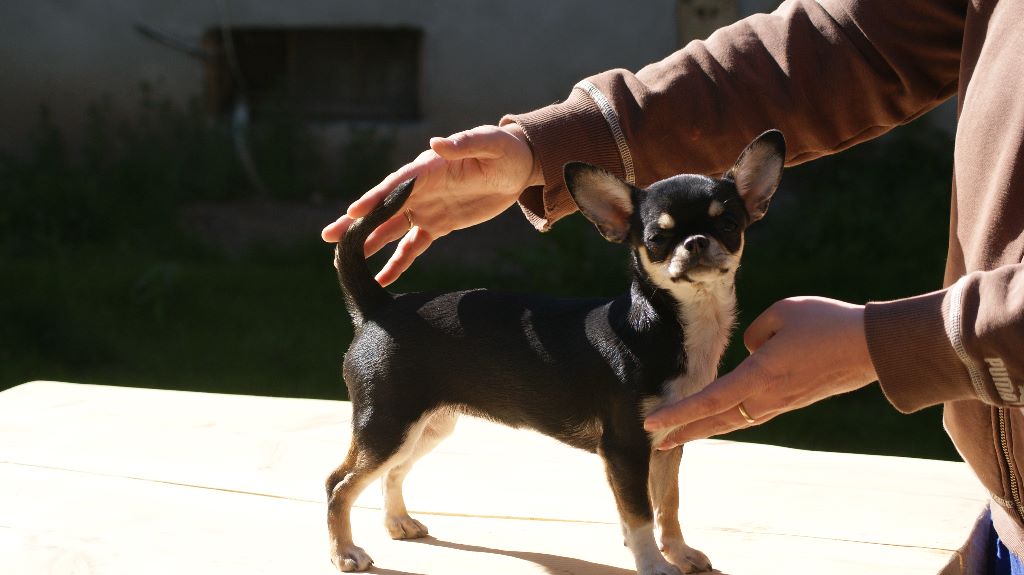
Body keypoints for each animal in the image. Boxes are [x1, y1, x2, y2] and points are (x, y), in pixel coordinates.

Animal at [325, 129, 782, 572]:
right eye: (657, 239)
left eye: (729, 225)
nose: (697, 241)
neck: (668, 323)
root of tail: (379, 305)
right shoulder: (626, 449)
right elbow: (640, 515)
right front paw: (654, 564)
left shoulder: (667, 445)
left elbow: (667, 504)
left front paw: (679, 553)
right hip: (389, 426)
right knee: (339, 484)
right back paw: (344, 551)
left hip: (426, 427)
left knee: (391, 473)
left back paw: (397, 522)